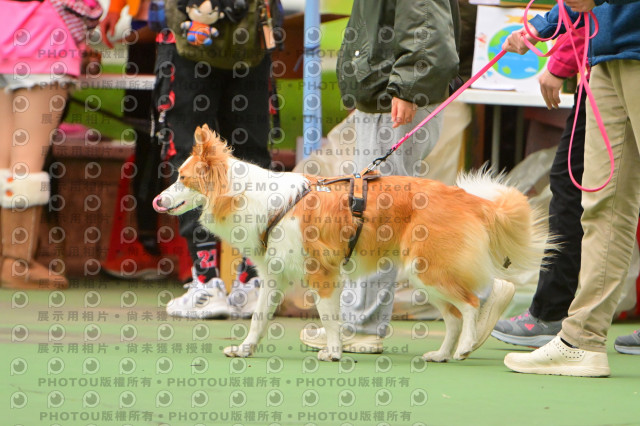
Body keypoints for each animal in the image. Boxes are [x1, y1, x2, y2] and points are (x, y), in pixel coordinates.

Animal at [153, 125, 550, 362]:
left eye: (183, 178)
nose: (156, 201)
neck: (252, 196)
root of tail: (468, 198)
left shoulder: (323, 275)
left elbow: (330, 319)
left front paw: (333, 353)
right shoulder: (274, 278)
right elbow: (259, 319)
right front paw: (246, 349)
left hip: (429, 270)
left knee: (469, 304)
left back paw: (466, 346)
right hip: (423, 277)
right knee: (453, 315)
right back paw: (440, 354)